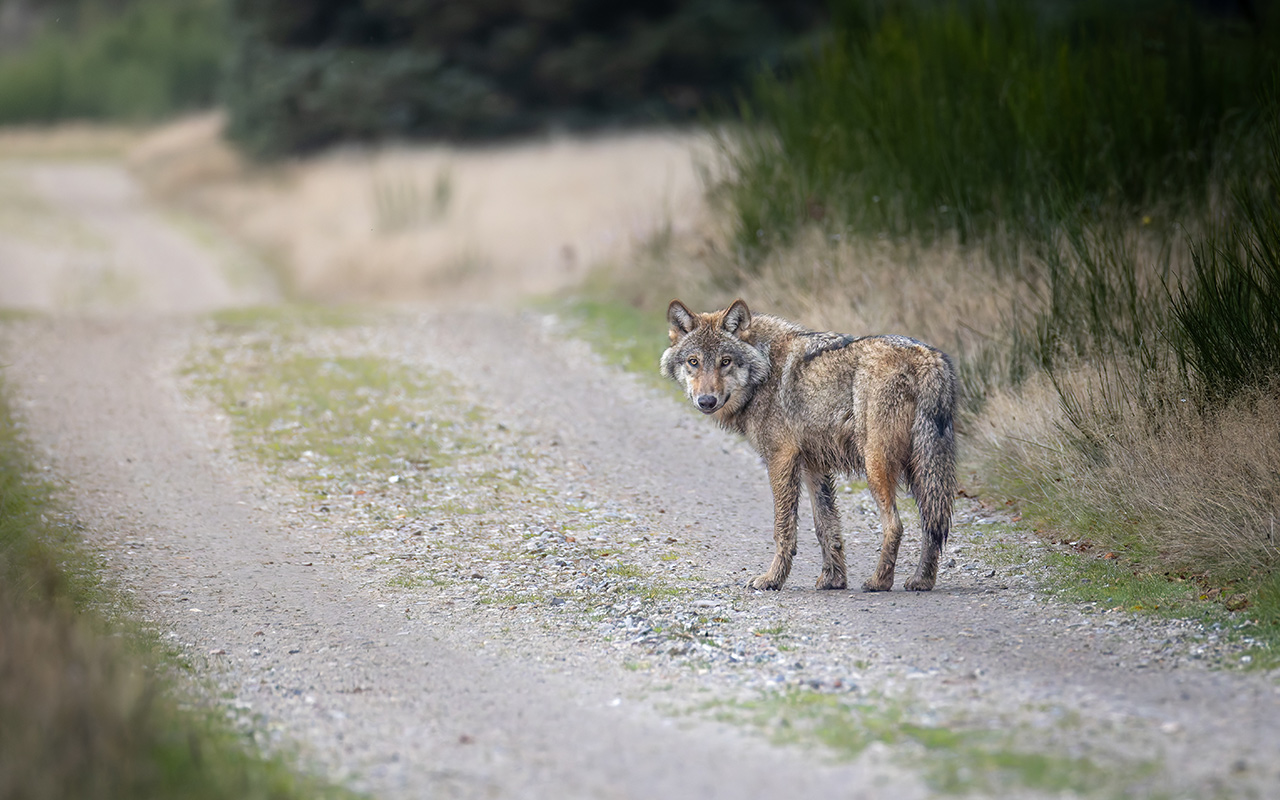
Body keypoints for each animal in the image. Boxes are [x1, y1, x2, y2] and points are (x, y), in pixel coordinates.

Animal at [660, 299, 957, 592]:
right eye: (694, 362)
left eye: (725, 362)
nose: (706, 401)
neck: (765, 369)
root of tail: (927, 357)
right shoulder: (813, 465)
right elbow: (826, 526)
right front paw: (833, 580)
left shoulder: (781, 458)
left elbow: (783, 527)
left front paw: (773, 579)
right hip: (923, 471)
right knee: (933, 525)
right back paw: (922, 581)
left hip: (877, 466)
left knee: (896, 525)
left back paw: (879, 582)